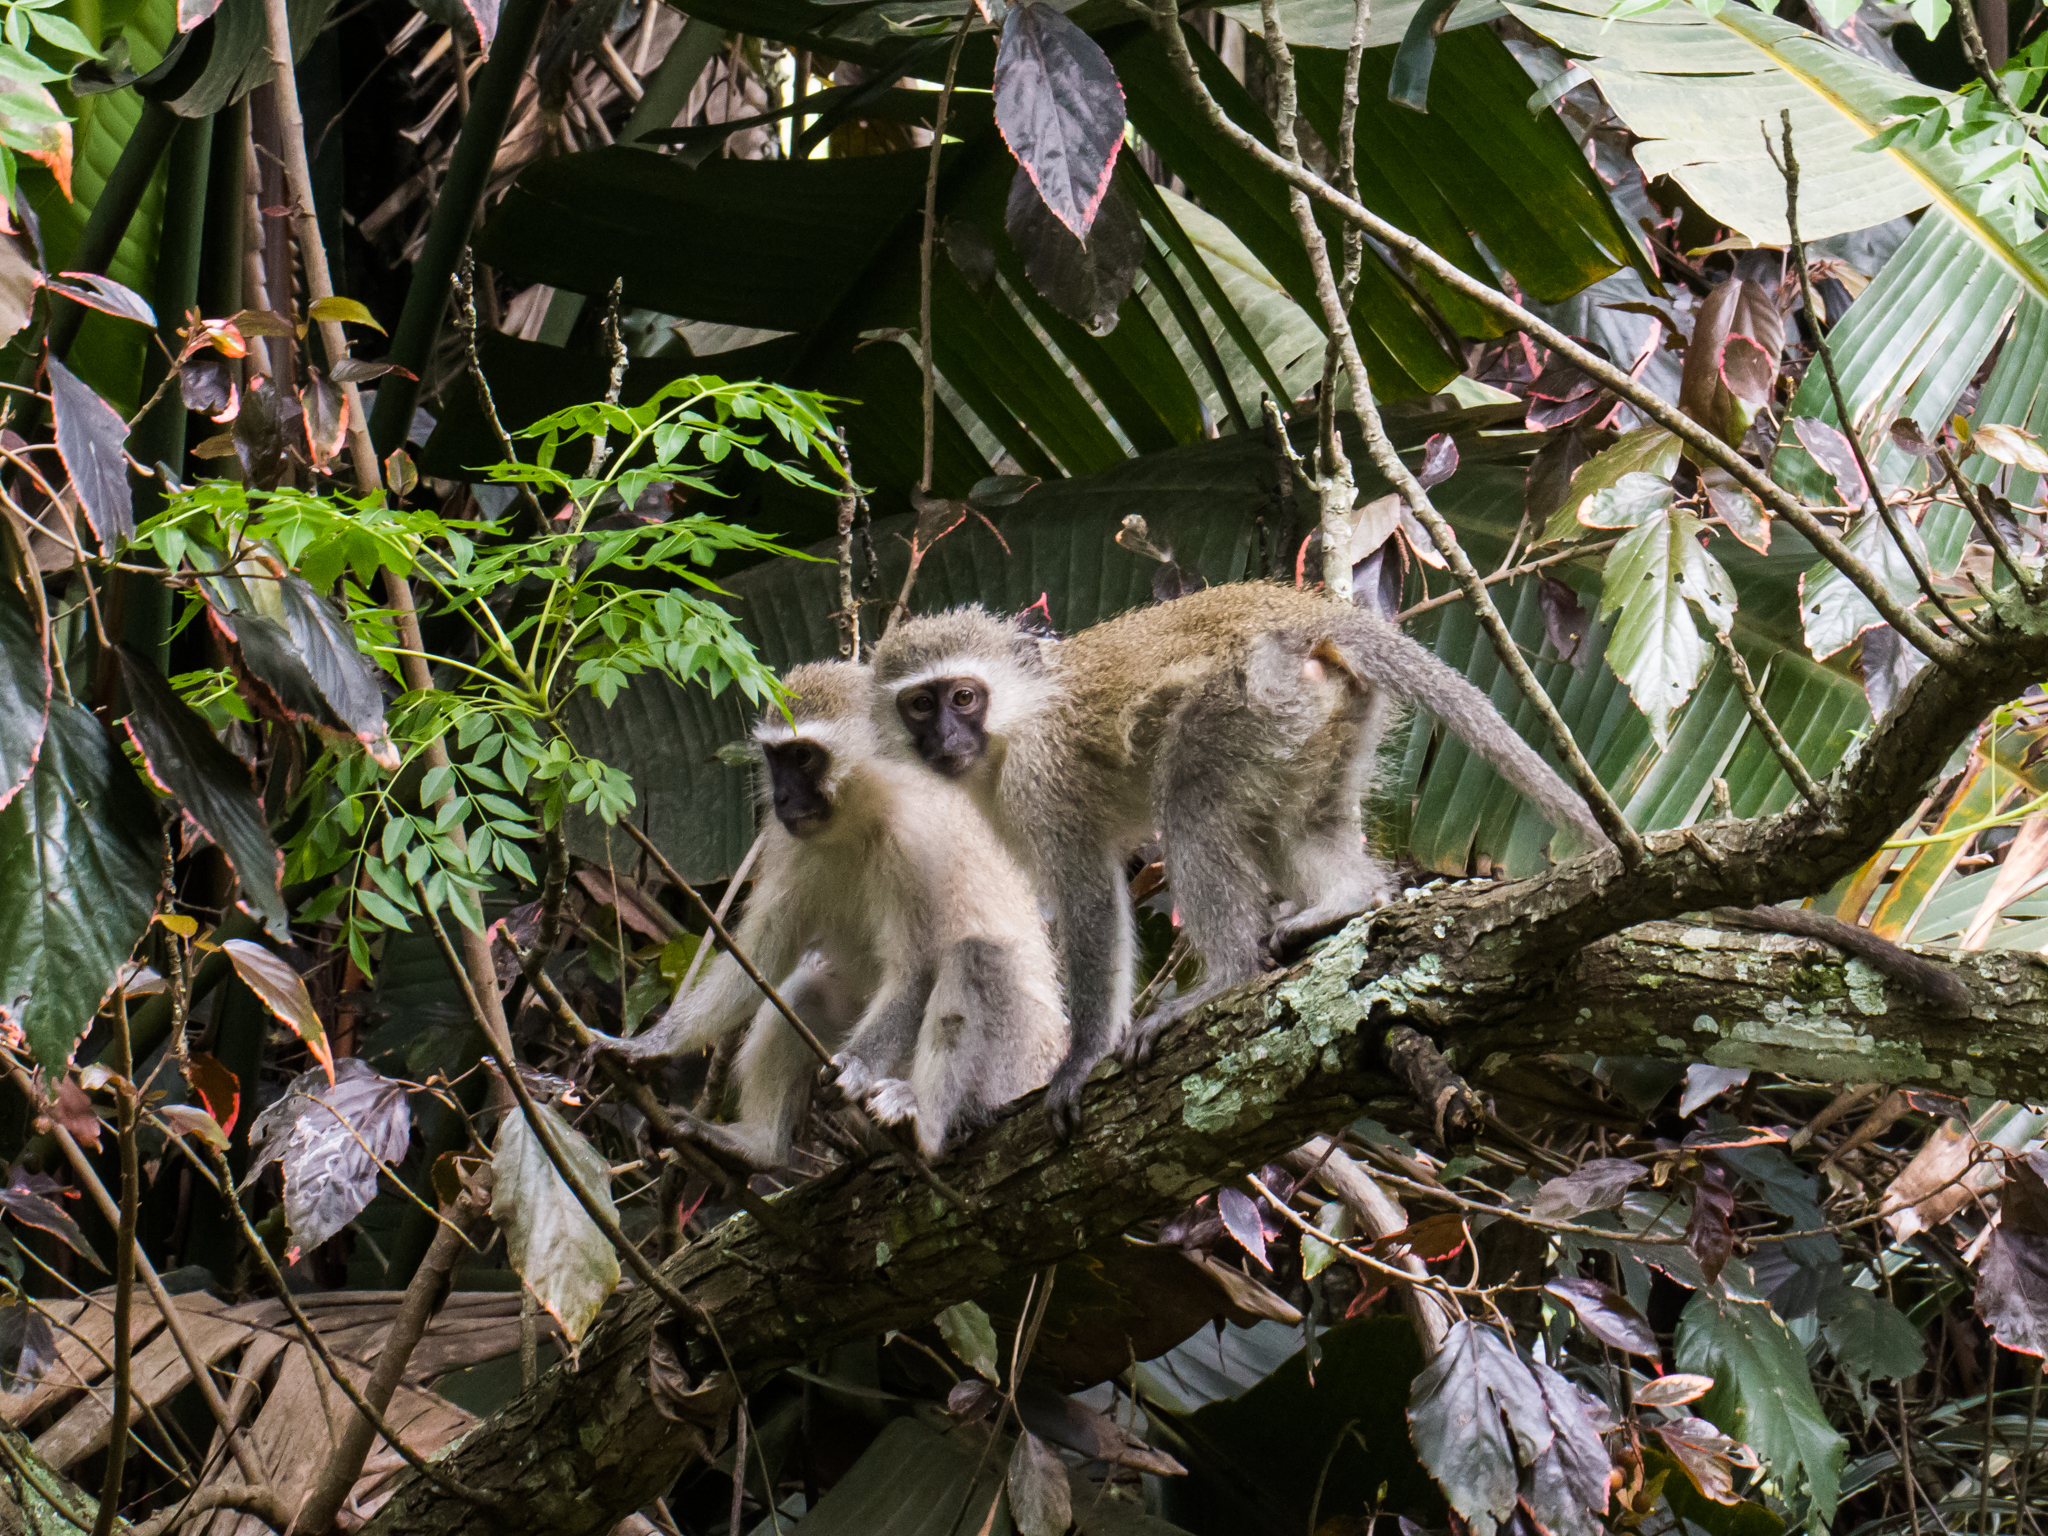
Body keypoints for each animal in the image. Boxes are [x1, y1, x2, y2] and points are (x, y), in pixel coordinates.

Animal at [610, 659, 1064, 1163]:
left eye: (804, 757)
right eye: (776, 758)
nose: (783, 798)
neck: (864, 813)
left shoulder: (918, 842)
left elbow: (918, 970)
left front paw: (857, 1066)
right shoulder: (788, 841)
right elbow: (764, 956)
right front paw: (651, 1045)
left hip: (1013, 1072)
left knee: (978, 957)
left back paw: (923, 1126)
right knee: (808, 986)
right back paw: (758, 1148)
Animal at [872, 581, 1605, 1138]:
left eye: (964, 696)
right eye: (921, 703)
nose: (944, 738)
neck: (1015, 720)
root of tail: (1303, 619)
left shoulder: (1040, 783)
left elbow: (1089, 900)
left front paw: (1079, 1061)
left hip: (1247, 699)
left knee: (1191, 799)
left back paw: (1226, 976)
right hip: (1322, 713)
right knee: (1303, 820)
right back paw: (1348, 900)